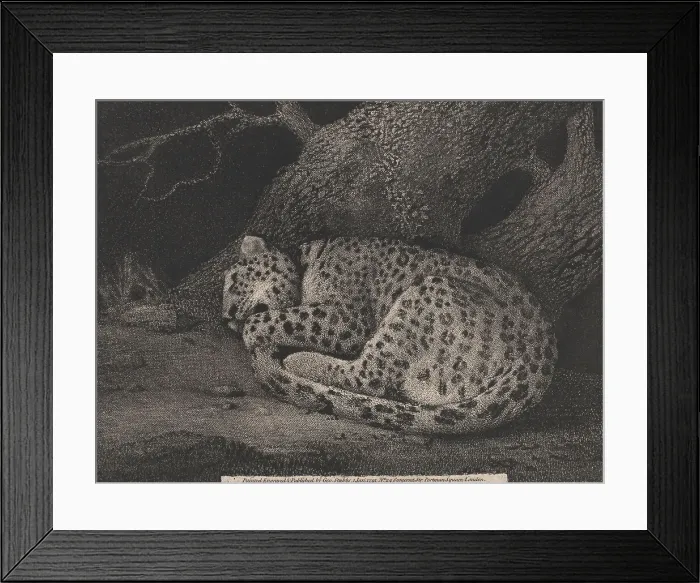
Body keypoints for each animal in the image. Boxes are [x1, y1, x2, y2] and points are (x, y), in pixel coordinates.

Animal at [222, 235, 557, 435]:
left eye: (234, 281)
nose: (227, 317)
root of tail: (539, 359)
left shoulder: (347, 319)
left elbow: (281, 318)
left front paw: (253, 332)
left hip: (425, 295)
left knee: (370, 376)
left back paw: (297, 360)